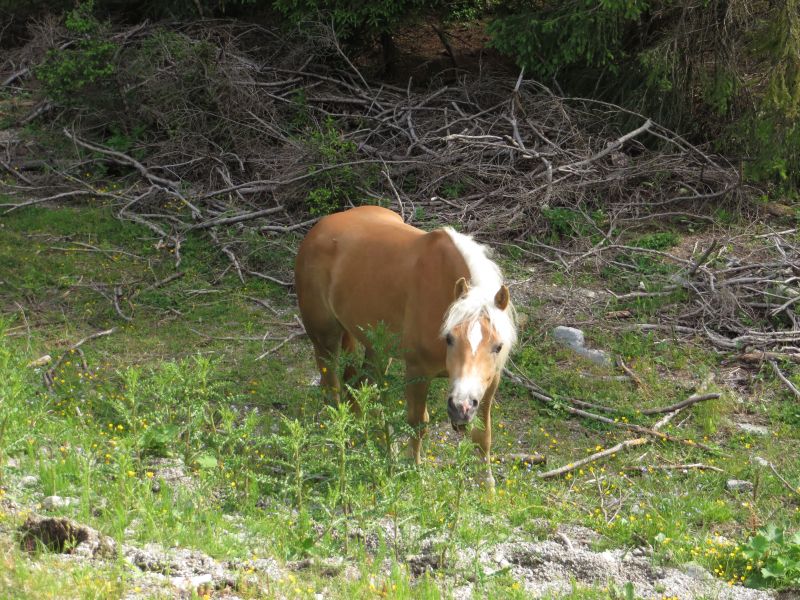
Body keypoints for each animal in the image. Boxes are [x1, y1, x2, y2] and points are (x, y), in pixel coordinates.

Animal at [296, 206, 520, 488]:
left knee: (361, 389)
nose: (461, 407)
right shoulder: (417, 372)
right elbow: (418, 424)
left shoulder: (490, 382)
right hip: (324, 338)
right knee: (332, 389)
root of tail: (318, 229)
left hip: (377, 350)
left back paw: (377, 446)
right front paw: (415, 476)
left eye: (498, 347)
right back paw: (344, 439)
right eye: (449, 338)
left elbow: (483, 435)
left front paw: (487, 487)